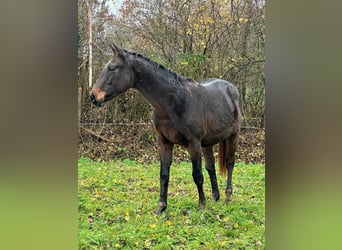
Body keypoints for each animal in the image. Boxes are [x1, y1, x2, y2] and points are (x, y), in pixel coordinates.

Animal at [89, 44, 242, 213]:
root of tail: (231, 88)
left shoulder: (193, 144)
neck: (175, 102)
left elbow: (197, 175)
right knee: (211, 167)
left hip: (233, 136)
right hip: (207, 143)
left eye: (112, 68)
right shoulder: (164, 142)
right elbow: (164, 174)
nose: (93, 96)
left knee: (229, 163)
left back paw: (228, 196)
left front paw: (202, 205)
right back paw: (215, 197)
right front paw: (161, 207)